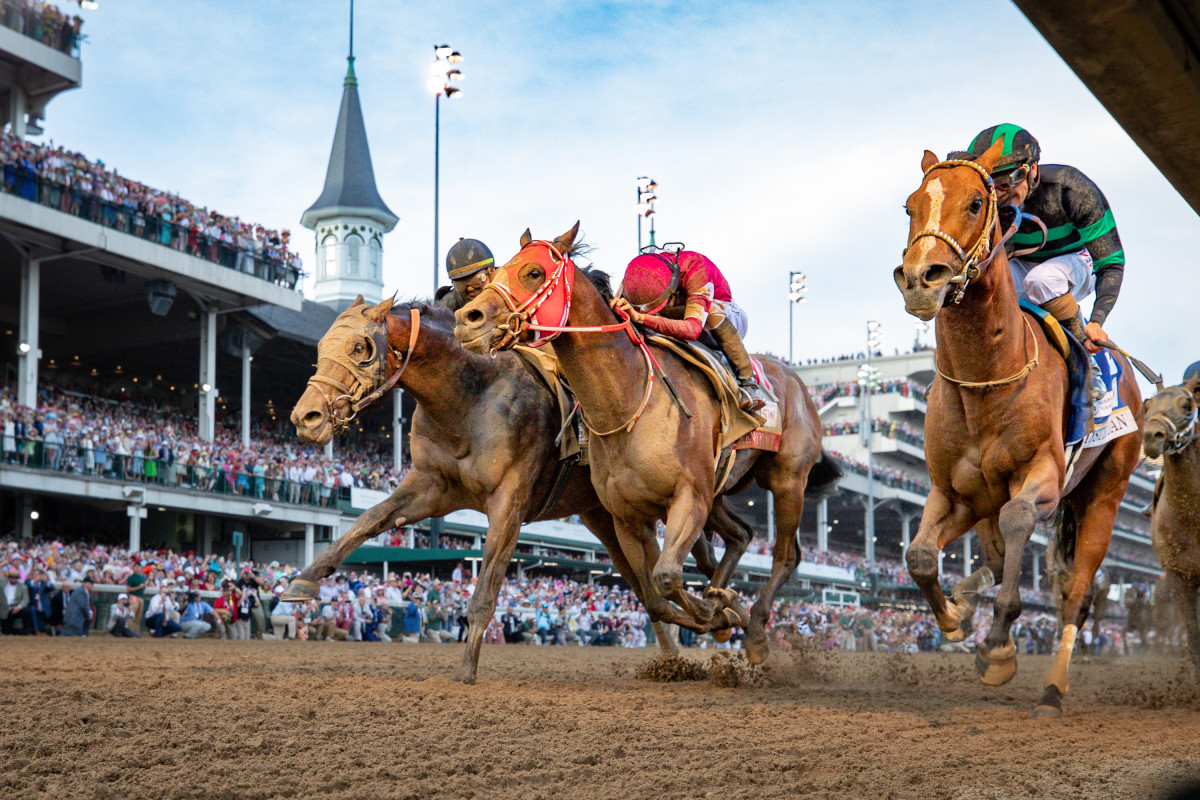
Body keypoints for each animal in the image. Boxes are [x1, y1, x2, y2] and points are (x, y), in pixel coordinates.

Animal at [284, 297, 744, 686]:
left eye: (360, 346)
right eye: (322, 345)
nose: (306, 417)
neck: (470, 396)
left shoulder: (509, 500)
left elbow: (486, 587)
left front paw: (466, 669)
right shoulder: (431, 486)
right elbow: (366, 521)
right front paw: (303, 580)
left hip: (672, 501)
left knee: (701, 560)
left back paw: (727, 612)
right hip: (608, 518)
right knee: (649, 589)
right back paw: (690, 644)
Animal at [451, 225, 835, 662]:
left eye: (534, 272)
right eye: (495, 270)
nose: (467, 319)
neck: (628, 400)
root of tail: (799, 384)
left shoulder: (689, 497)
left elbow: (666, 576)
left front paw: (714, 610)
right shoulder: (628, 516)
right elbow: (654, 594)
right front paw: (716, 610)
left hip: (787, 480)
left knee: (786, 554)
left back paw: (753, 630)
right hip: (720, 489)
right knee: (741, 535)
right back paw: (725, 599)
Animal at [897, 139, 1137, 719]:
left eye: (975, 203)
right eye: (910, 206)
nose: (920, 280)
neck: (985, 378)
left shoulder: (1042, 476)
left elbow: (1018, 520)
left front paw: (999, 648)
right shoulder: (951, 491)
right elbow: (920, 556)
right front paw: (955, 620)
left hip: (1104, 495)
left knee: (1076, 595)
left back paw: (1051, 691)